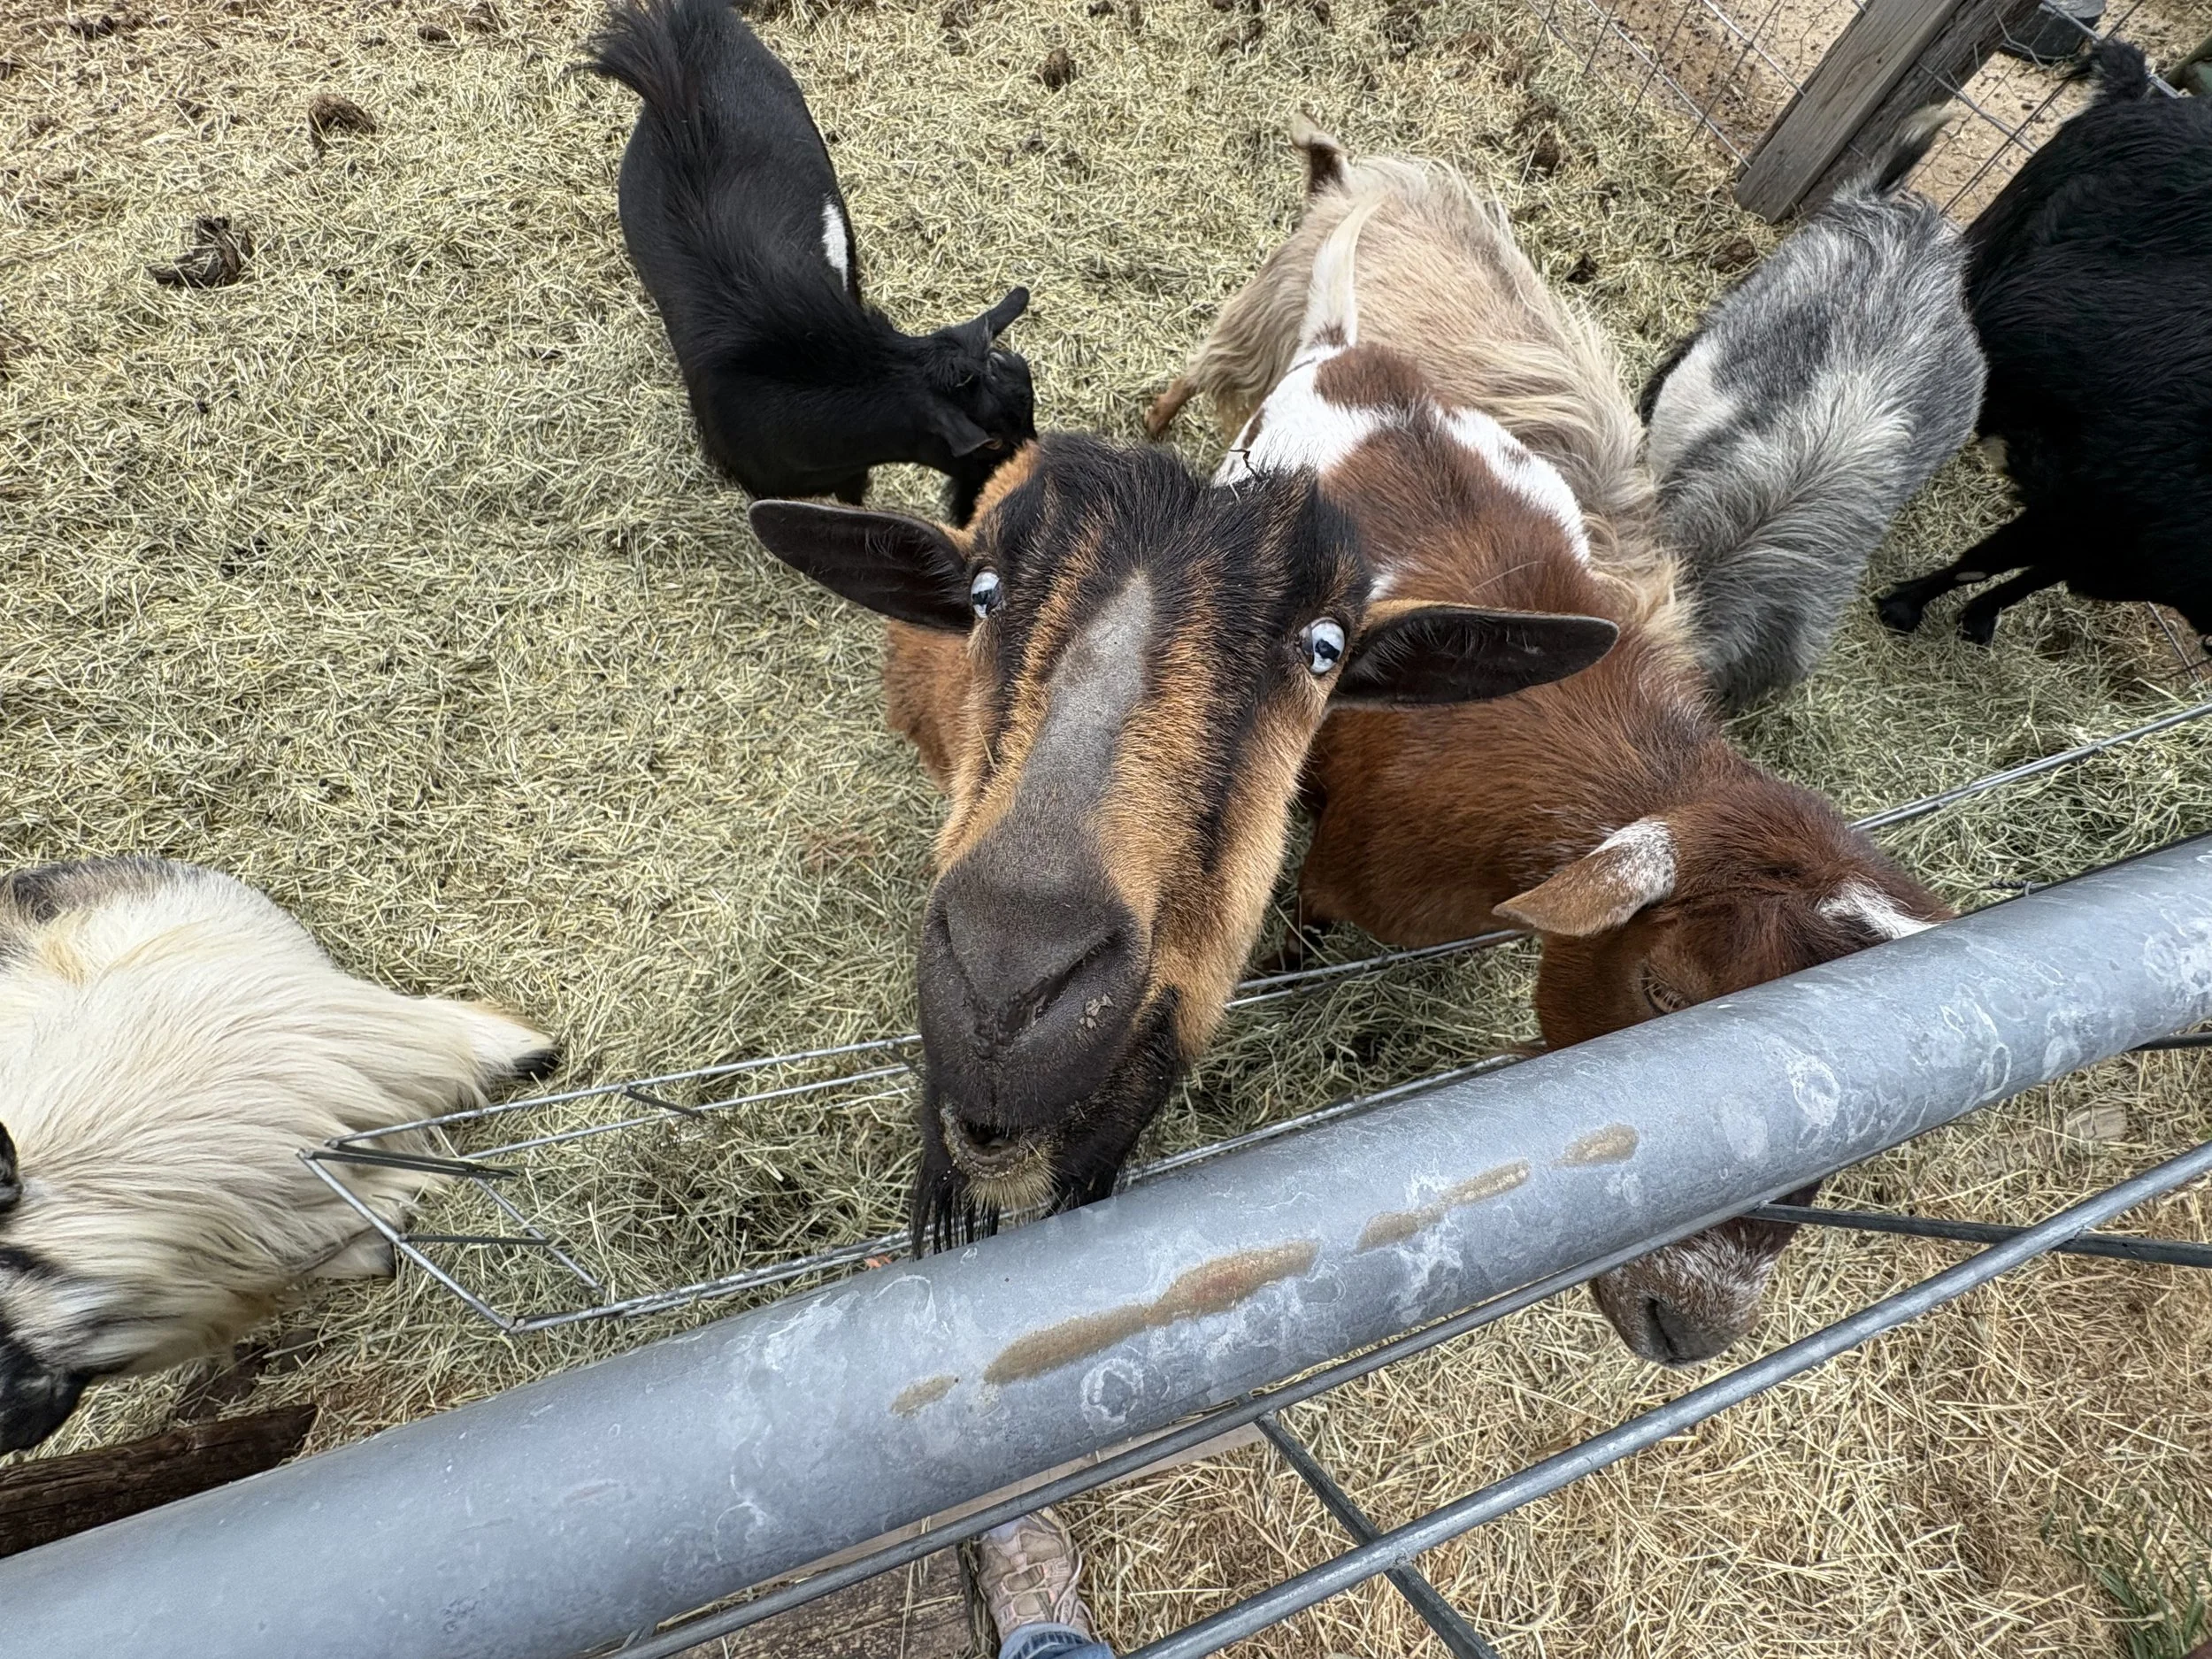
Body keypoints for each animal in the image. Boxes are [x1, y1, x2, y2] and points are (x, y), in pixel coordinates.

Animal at [1875, 41, 2212, 649]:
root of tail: (2138, 95)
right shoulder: (2077, 507)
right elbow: (1983, 561)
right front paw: (1904, 606)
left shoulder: (2110, 545)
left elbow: (2029, 579)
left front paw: (1979, 619)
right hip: (1999, 231)